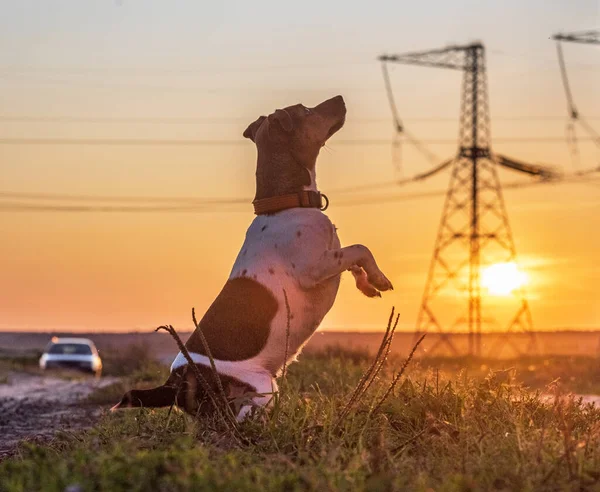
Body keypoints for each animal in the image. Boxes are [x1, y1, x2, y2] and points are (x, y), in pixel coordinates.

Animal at [112, 95, 394, 418]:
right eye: (306, 109)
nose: (340, 98)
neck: (284, 204)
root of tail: (174, 382)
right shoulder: (315, 267)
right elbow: (360, 249)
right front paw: (380, 278)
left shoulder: (331, 256)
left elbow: (354, 261)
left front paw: (368, 285)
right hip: (260, 387)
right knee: (243, 416)